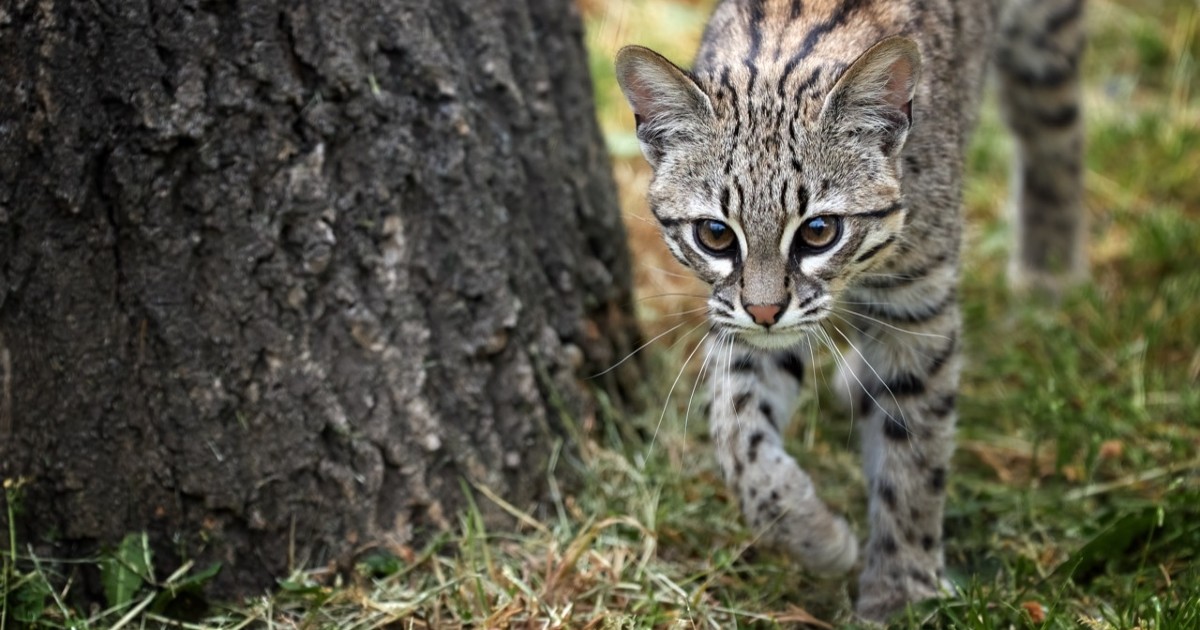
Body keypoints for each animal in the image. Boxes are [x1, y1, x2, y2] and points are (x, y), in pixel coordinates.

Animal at [614, 0, 1084, 619]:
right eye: (715, 235)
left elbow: (915, 450)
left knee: (1055, 129)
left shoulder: (919, 303)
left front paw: (902, 592)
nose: (766, 311)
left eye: (819, 231)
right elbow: (735, 430)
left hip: (1043, 40)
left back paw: (1048, 273)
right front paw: (813, 534)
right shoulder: (740, 316)